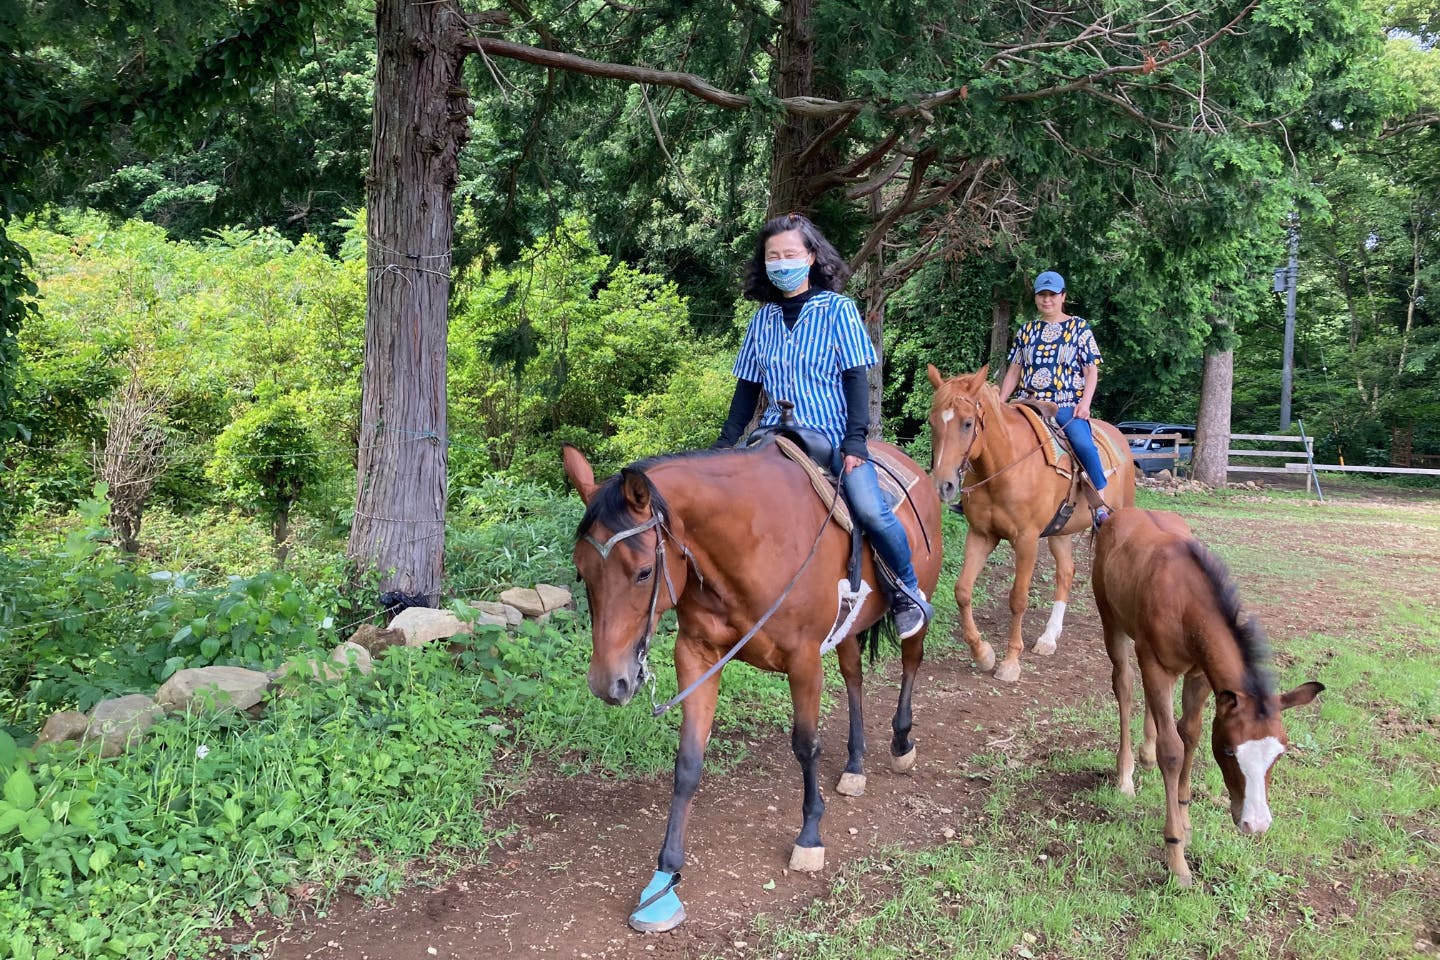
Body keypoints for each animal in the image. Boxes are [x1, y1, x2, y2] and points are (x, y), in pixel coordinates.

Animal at [561, 440, 944, 932]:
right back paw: (856, 765)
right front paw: (663, 881)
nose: (608, 683)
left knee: (911, 662)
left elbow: (806, 745)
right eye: (581, 570)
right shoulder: (696, 656)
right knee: (855, 678)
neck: (750, 547)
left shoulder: (804, 661)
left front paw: (810, 836)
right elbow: (688, 763)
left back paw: (901, 742)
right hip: (847, 629)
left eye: (644, 572)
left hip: (914, 608)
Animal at [921, 362, 1134, 682]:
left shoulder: (1027, 540)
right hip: (1060, 531)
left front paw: (1010, 662)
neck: (1005, 466)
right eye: (933, 422)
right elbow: (963, 590)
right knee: (1066, 573)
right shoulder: (981, 535)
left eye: (968, 423)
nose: (942, 486)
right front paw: (983, 653)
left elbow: (1018, 598)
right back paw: (1049, 637)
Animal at [1094, 509, 1319, 886]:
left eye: (1280, 754)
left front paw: (1185, 821)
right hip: (1112, 621)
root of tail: (1115, 514)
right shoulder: (1156, 663)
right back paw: (1125, 775)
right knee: (1123, 685)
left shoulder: (1199, 673)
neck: (1185, 601)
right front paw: (1176, 858)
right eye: (1229, 751)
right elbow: (1172, 749)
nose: (1256, 824)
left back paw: (1145, 753)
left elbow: (1190, 734)